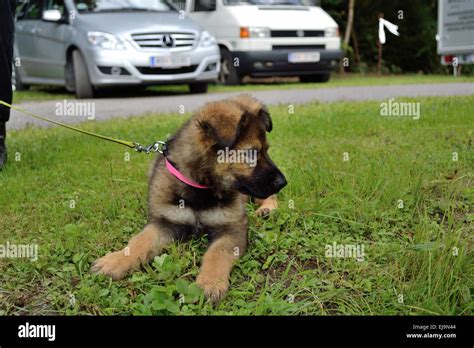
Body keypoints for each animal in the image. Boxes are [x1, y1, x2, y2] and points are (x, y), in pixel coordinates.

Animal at [91, 94, 286, 302]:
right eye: (250, 154)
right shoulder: (164, 222)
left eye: (266, 150)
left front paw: (210, 282)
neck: (200, 187)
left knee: (269, 197)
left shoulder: (233, 228)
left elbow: (217, 253)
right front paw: (115, 261)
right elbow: (139, 241)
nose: (283, 182)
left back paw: (267, 210)